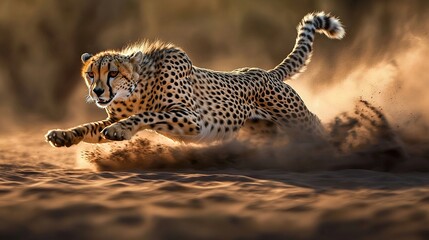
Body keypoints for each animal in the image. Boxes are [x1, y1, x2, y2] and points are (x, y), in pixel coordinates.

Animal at [45, 12, 342, 147]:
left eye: (113, 73)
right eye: (90, 74)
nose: (97, 92)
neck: (138, 89)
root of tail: (265, 72)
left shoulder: (190, 117)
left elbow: (147, 115)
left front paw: (122, 130)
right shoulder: (111, 116)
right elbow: (88, 127)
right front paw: (63, 135)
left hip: (296, 118)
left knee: (315, 123)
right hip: (262, 128)